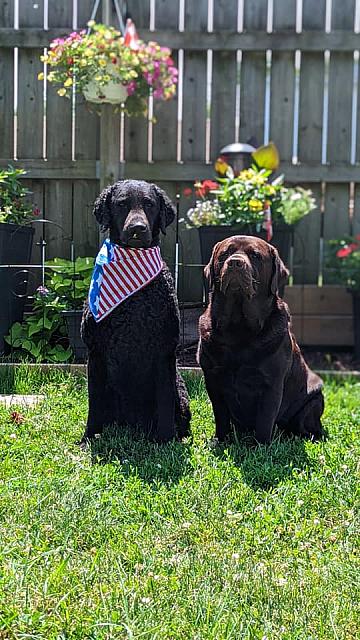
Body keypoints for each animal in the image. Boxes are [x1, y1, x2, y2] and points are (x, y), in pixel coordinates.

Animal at [79, 178, 191, 442]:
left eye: (149, 204)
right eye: (121, 204)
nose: (137, 228)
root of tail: (134, 425)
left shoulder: (164, 354)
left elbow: (165, 400)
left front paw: (166, 440)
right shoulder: (95, 354)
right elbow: (94, 403)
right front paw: (89, 438)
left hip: (180, 388)